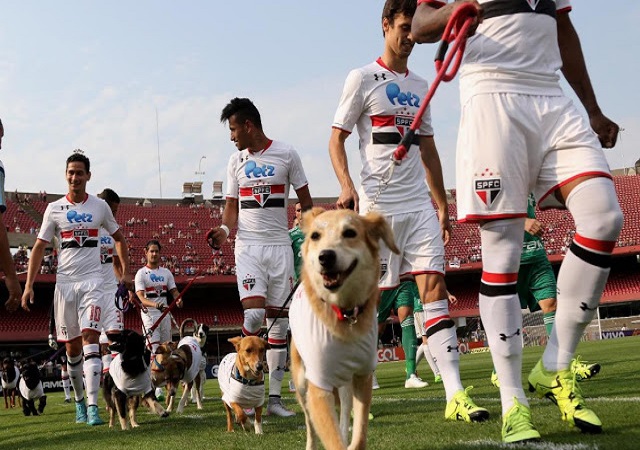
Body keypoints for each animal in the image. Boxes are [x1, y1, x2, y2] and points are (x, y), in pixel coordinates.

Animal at [288, 208, 398, 450]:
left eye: (349, 233)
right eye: (315, 236)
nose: (326, 256)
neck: (345, 314)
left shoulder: (362, 377)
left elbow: (358, 435)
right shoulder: (318, 387)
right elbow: (330, 437)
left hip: (345, 382)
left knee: (344, 415)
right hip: (301, 382)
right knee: (309, 423)